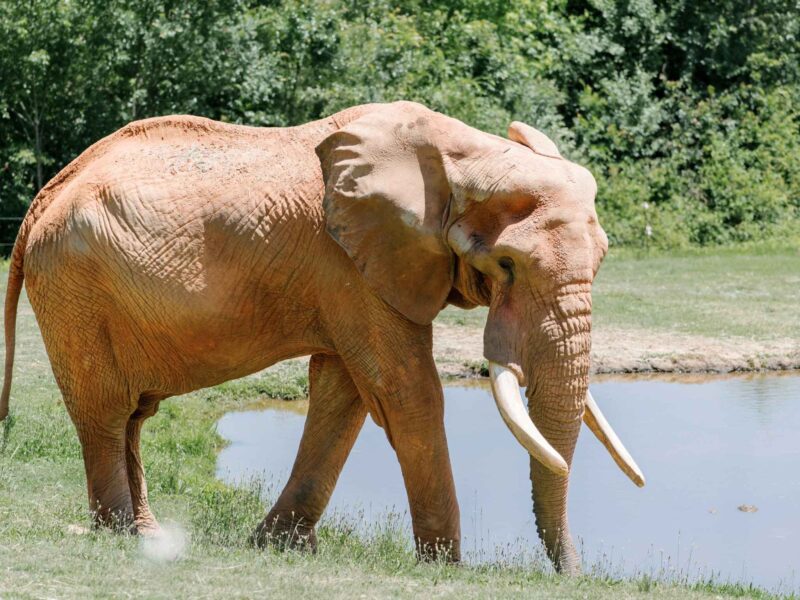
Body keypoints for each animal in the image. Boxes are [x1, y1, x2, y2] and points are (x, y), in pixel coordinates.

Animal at [0, 101, 644, 573]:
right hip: (74, 287)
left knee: (134, 416)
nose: (572, 578)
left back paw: (147, 535)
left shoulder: (354, 272)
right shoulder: (350, 264)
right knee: (107, 412)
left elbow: (343, 394)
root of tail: (43, 198)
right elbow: (406, 391)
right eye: (507, 265)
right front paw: (444, 567)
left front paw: (277, 547)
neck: (462, 153)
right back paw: (123, 538)